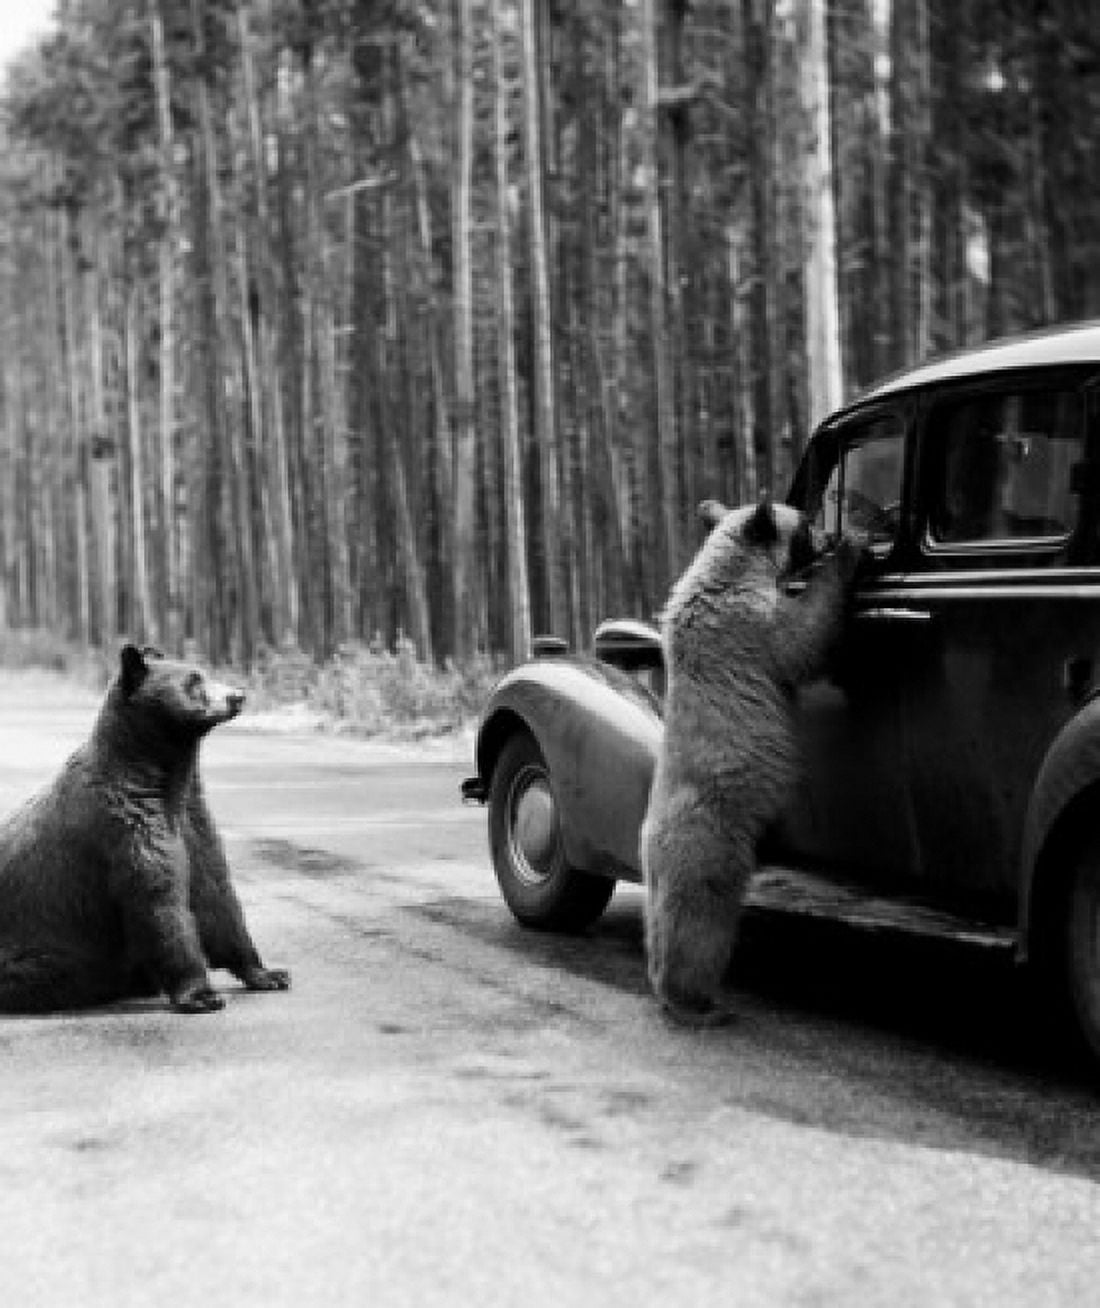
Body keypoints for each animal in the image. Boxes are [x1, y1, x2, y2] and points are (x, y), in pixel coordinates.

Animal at [0, 644, 290, 1014]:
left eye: (204, 672)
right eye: (194, 680)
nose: (237, 695)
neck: (161, 778)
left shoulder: (191, 820)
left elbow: (216, 893)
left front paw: (268, 973)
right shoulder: (125, 823)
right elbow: (159, 897)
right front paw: (201, 993)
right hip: (41, 947)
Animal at [640, 497, 862, 1027]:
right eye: (806, 523)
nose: (826, 535)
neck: (728, 569)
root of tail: (650, 843)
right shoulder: (749, 622)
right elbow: (801, 640)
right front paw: (850, 550)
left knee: (659, 924)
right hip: (710, 846)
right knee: (702, 922)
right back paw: (699, 1002)